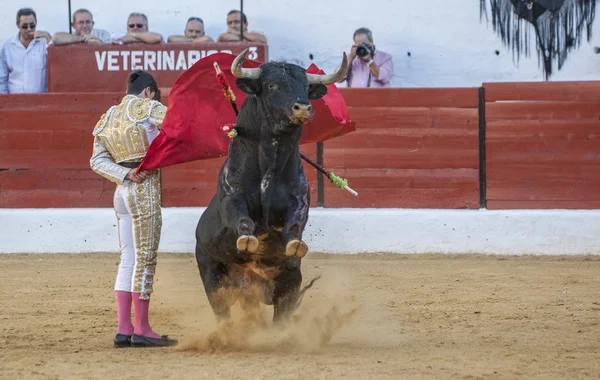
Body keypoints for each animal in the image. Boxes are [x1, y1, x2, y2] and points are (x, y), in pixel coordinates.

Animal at [195, 49, 350, 322]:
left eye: (305, 86)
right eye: (271, 85)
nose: (302, 107)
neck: (271, 162)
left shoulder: (300, 199)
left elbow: (296, 221)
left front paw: (295, 244)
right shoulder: (232, 196)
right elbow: (240, 216)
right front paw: (247, 240)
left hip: (288, 284)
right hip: (212, 278)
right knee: (223, 313)